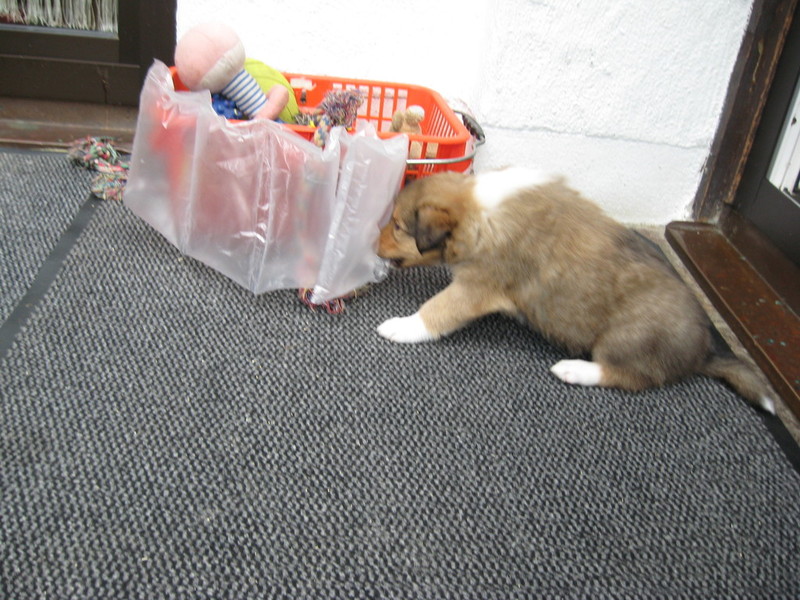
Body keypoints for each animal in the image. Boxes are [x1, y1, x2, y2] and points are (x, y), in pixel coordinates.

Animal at [376, 168, 774, 413]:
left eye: (397, 226)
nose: (371, 243)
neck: (479, 209)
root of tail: (703, 351)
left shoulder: (479, 284)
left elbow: (437, 309)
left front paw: (401, 326)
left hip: (624, 337)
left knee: (630, 377)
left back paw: (575, 369)